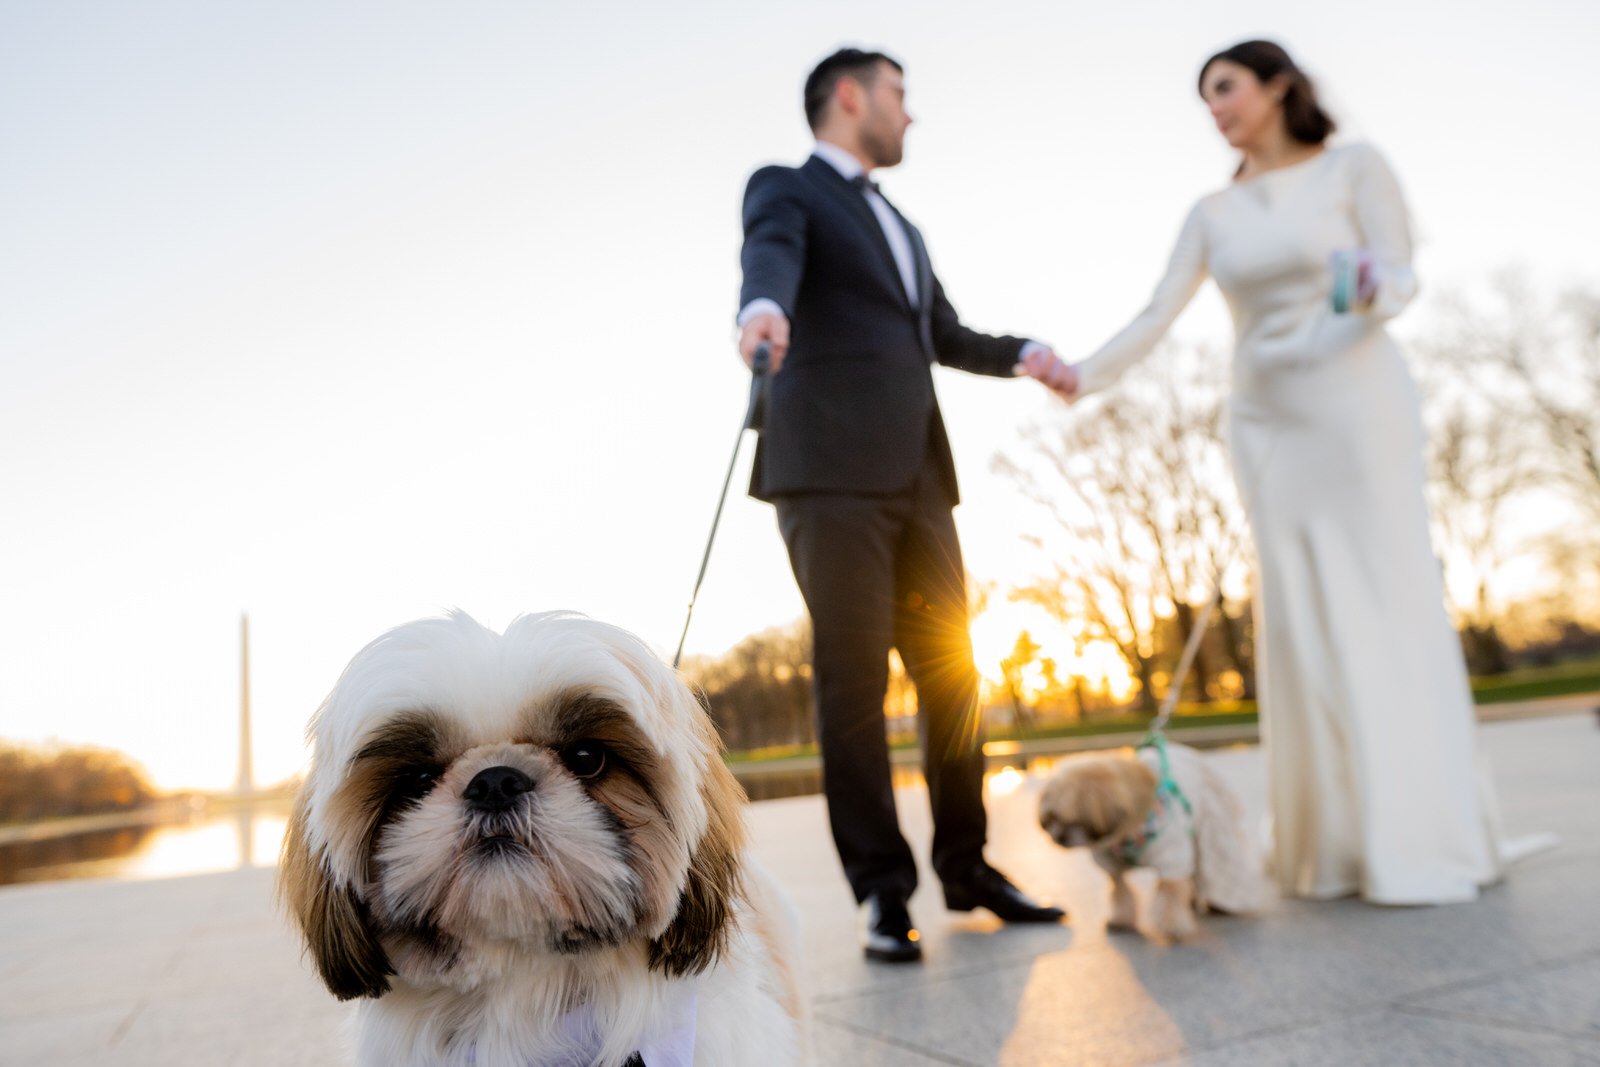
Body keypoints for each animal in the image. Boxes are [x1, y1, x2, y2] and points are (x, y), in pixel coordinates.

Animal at [1036, 742, 1273, 940]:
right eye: (1050, 818)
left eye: (1067, 818)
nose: (1055, 837)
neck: (1129, 832)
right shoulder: (1111, 863)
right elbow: (1120, 891)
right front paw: (1121, 919)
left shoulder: (1171, 857)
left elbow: (1170, 893)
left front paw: (1173, 925)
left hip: (1211, 822)